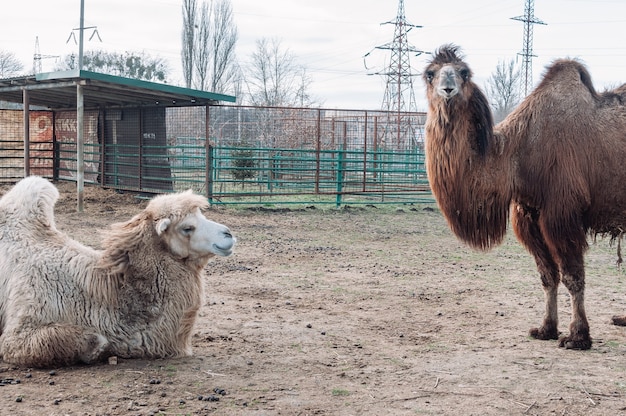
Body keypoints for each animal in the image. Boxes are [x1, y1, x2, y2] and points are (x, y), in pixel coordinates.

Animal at [422, 44, 620, 352]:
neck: (518, 154)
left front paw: (577, 336)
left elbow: (573, 277)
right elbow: (548, 276)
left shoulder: (562, 212)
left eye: (464, 72)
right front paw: (545, 328)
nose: (448, 88)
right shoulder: (528, 214)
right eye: (430, 73)